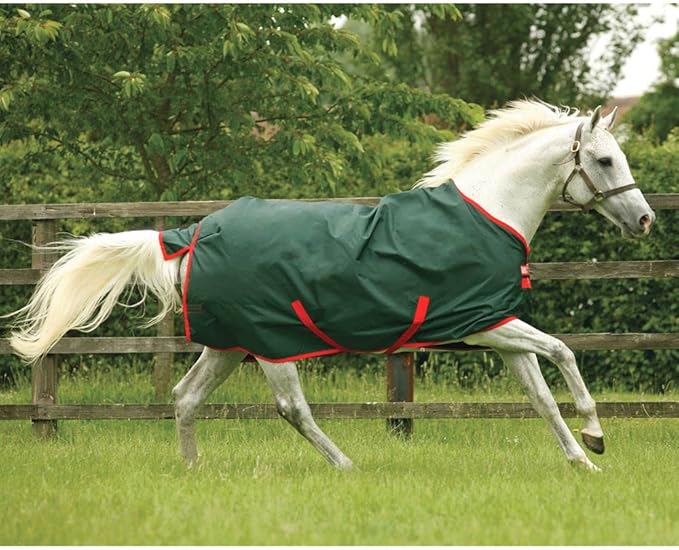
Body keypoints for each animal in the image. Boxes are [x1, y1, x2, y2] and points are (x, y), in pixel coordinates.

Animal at [4, 100, 655, 472]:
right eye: (603, 161)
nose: (646, 219)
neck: (486, 213)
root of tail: (191, 233)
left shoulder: (495, 327)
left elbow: (541, 394)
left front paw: (584, 463)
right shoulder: (491, 326)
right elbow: (565, 353)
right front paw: (597, 435)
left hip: (230, 344)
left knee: (185, 397)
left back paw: (192, 472)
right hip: (272, 344)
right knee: (292, 408)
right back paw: (346, 465)